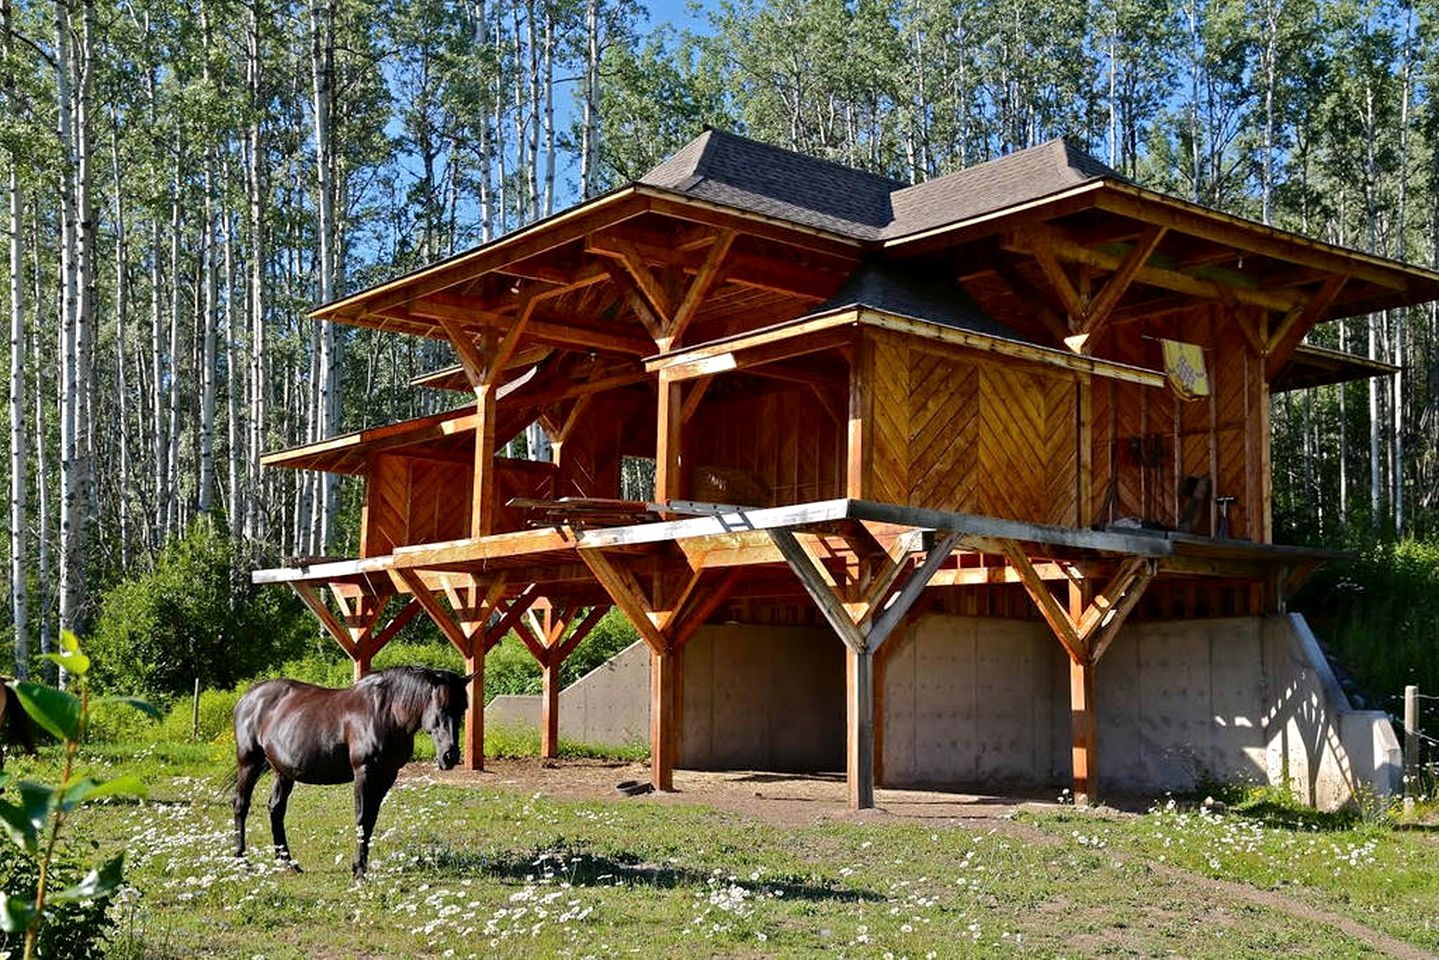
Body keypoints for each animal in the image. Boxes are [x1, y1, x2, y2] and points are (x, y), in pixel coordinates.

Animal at [228, 667, 466, 880]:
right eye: (441, 708)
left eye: (463, 710)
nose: (450, 756)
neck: (386, 714)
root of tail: (247, 697)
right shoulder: (364, 773)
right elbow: (362, 819)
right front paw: (359, 871)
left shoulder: (387, 776)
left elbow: (370, 821)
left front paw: (360, 867)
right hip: (249, 764)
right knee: (241, 805)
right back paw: (242, 862)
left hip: (283, 772)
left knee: (276, 808)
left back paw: (288, 863)